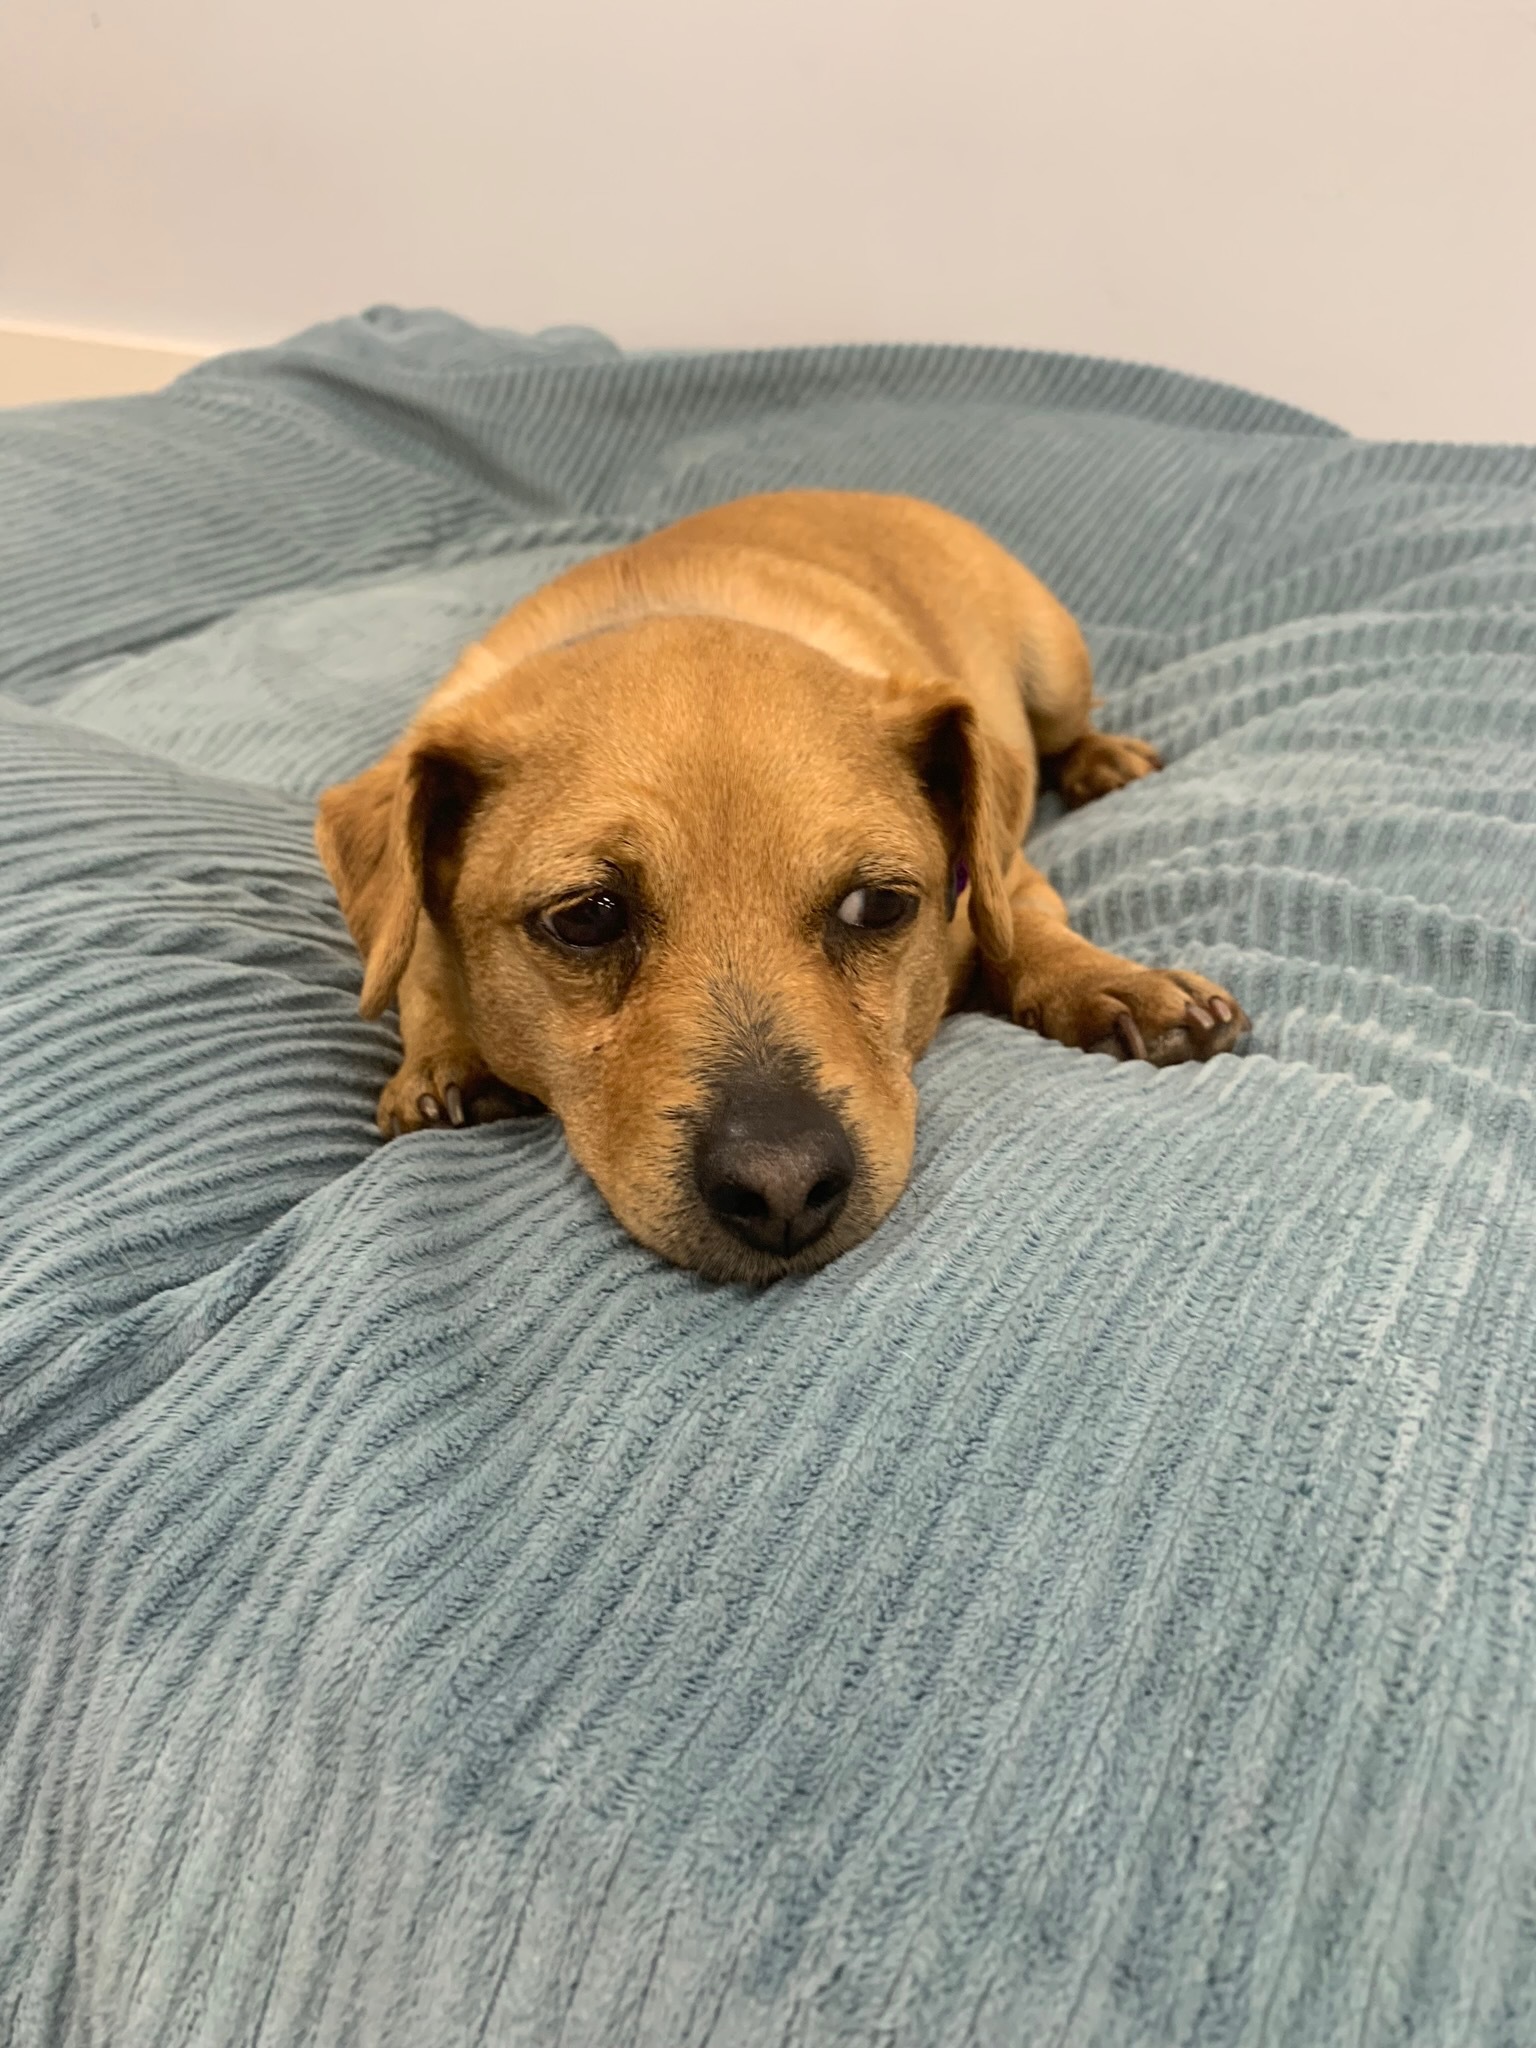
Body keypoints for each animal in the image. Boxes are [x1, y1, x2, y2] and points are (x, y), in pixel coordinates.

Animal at [315, 485, 1253, 1269]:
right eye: (586, 917)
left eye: (880, 905)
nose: (784, 1189)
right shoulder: (409, 915)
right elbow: (419, 976)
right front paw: (441, 1060)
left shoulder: (1008, 875)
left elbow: (1030, 935)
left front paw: (1115, 984)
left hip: (1054, 673)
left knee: (1070, 729)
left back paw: (1104, 759)